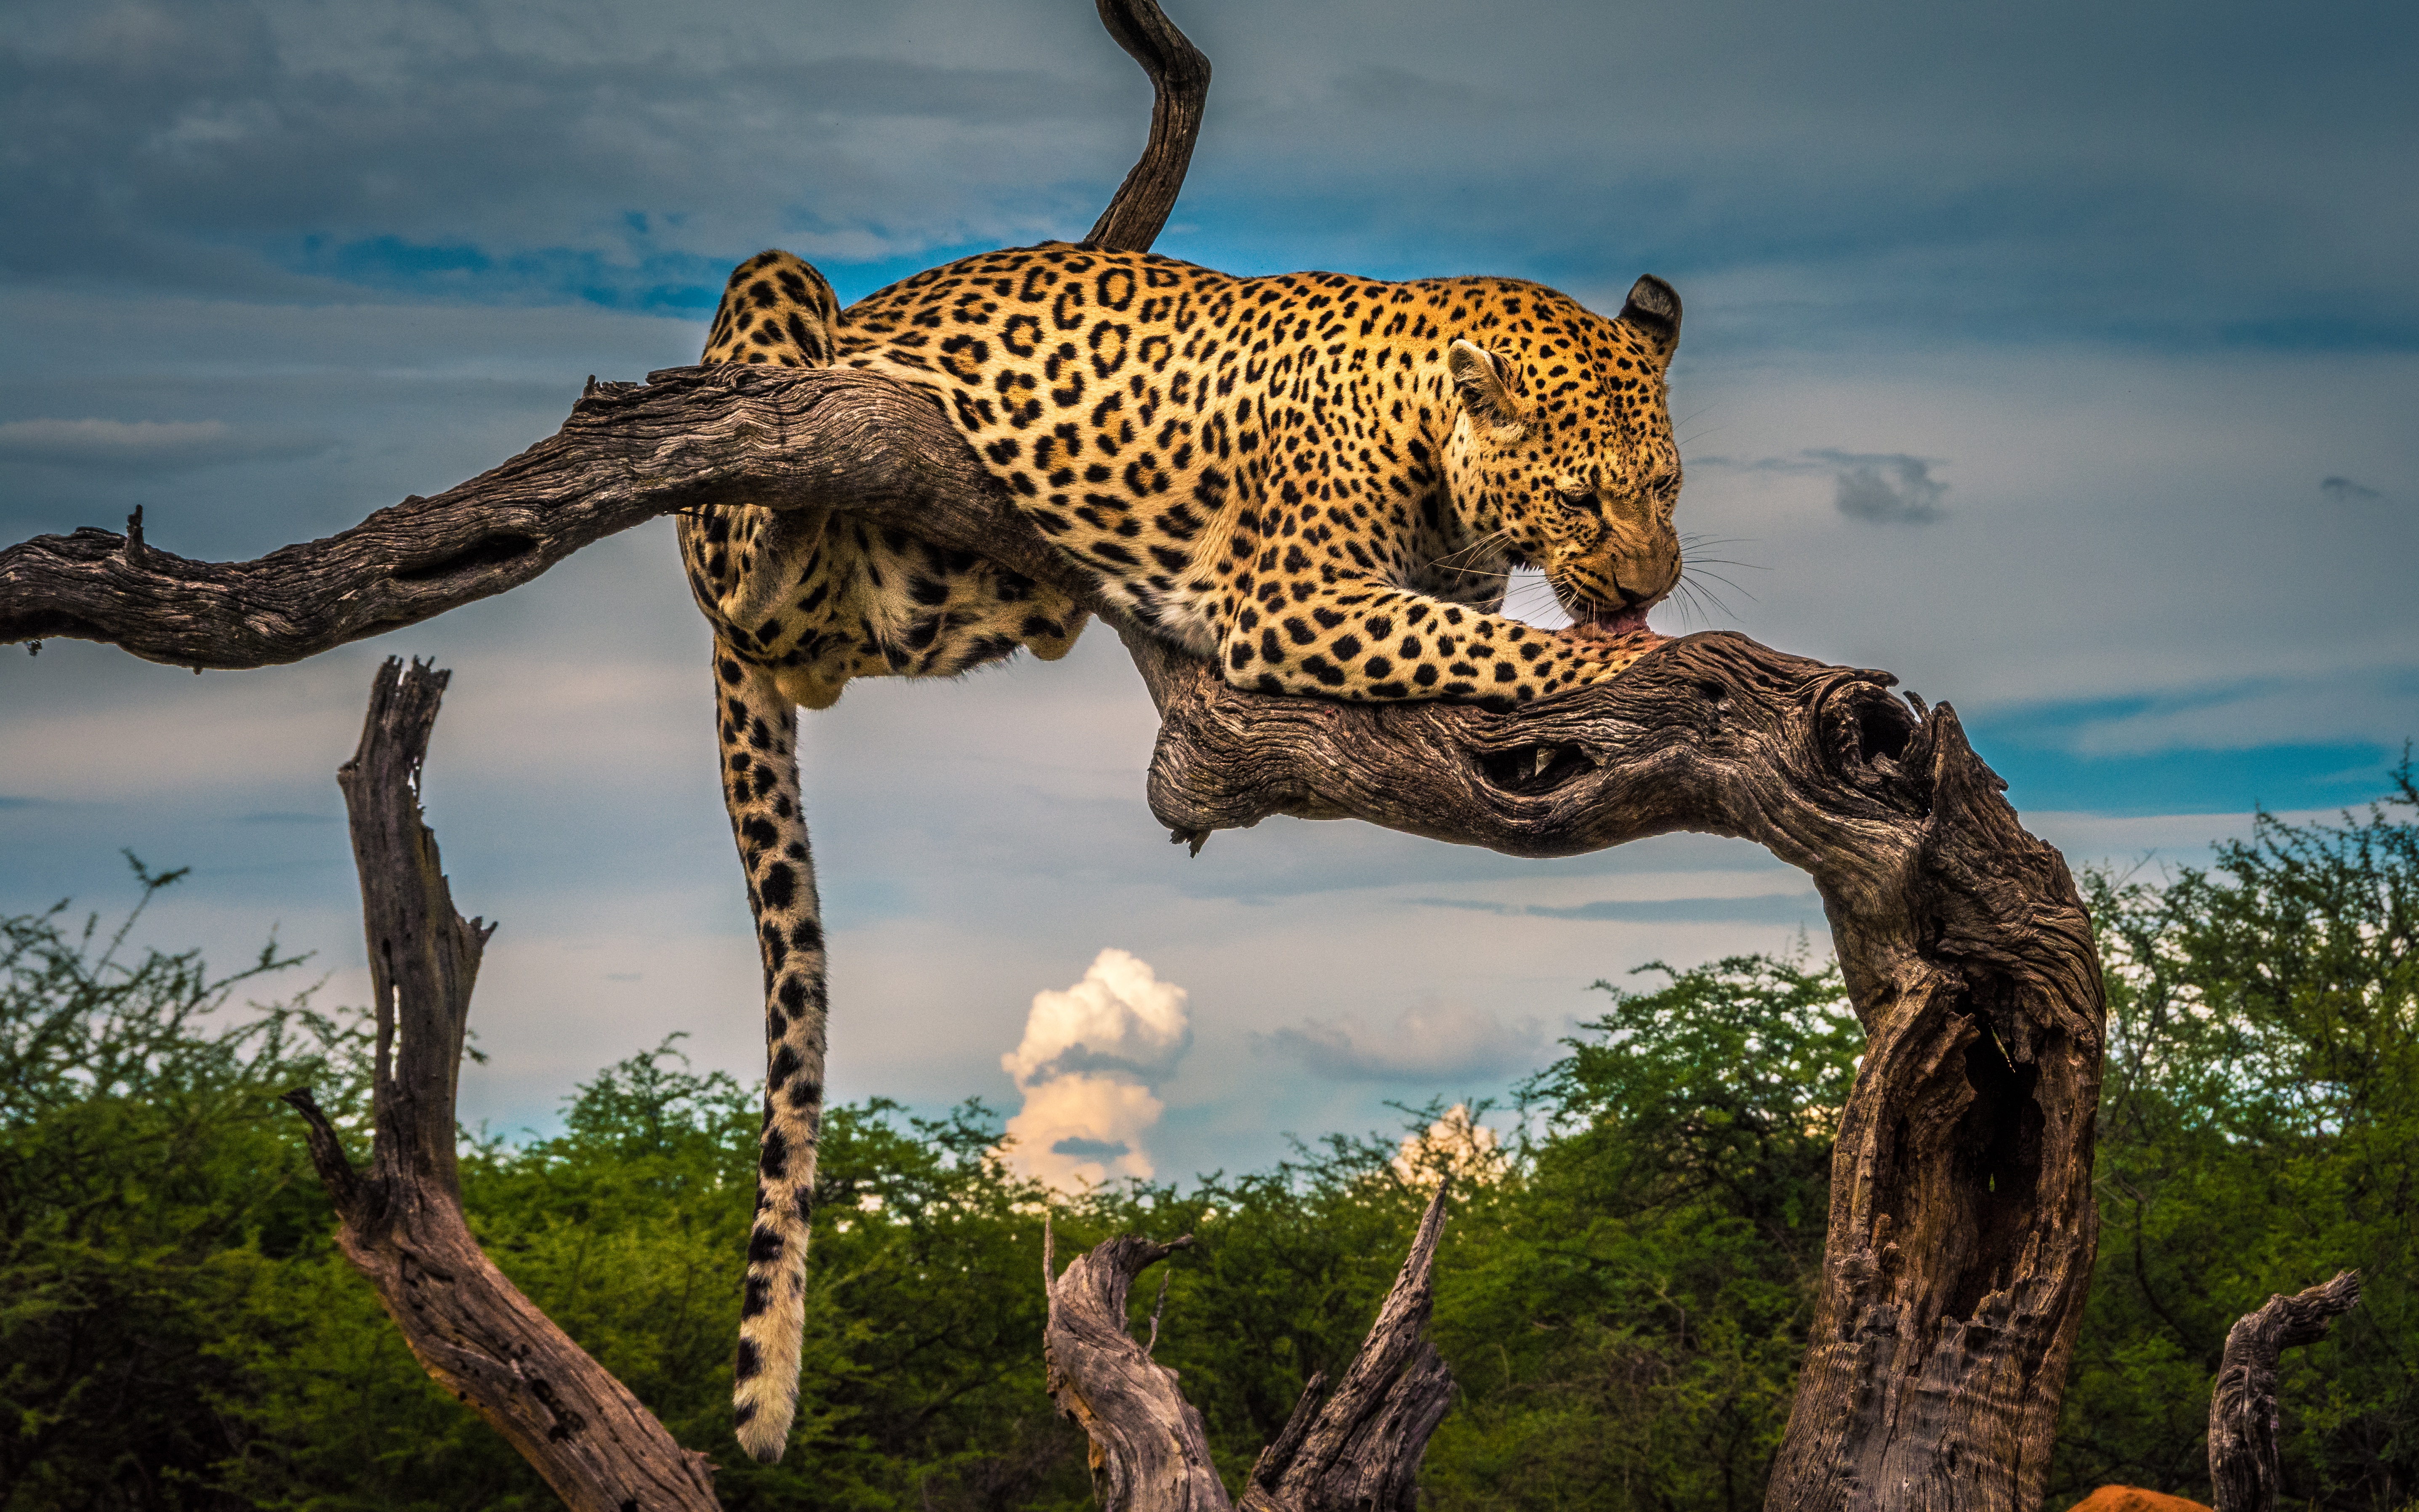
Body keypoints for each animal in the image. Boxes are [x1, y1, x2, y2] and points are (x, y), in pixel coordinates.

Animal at [687, 238, 1683, 1461]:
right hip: (771, 326)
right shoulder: (1301, 601)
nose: (1649, 586)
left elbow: (1485, 659)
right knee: (751, 532)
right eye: (1580, 495)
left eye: (1666, 487)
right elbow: (1486, 642)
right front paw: (1650, 655)